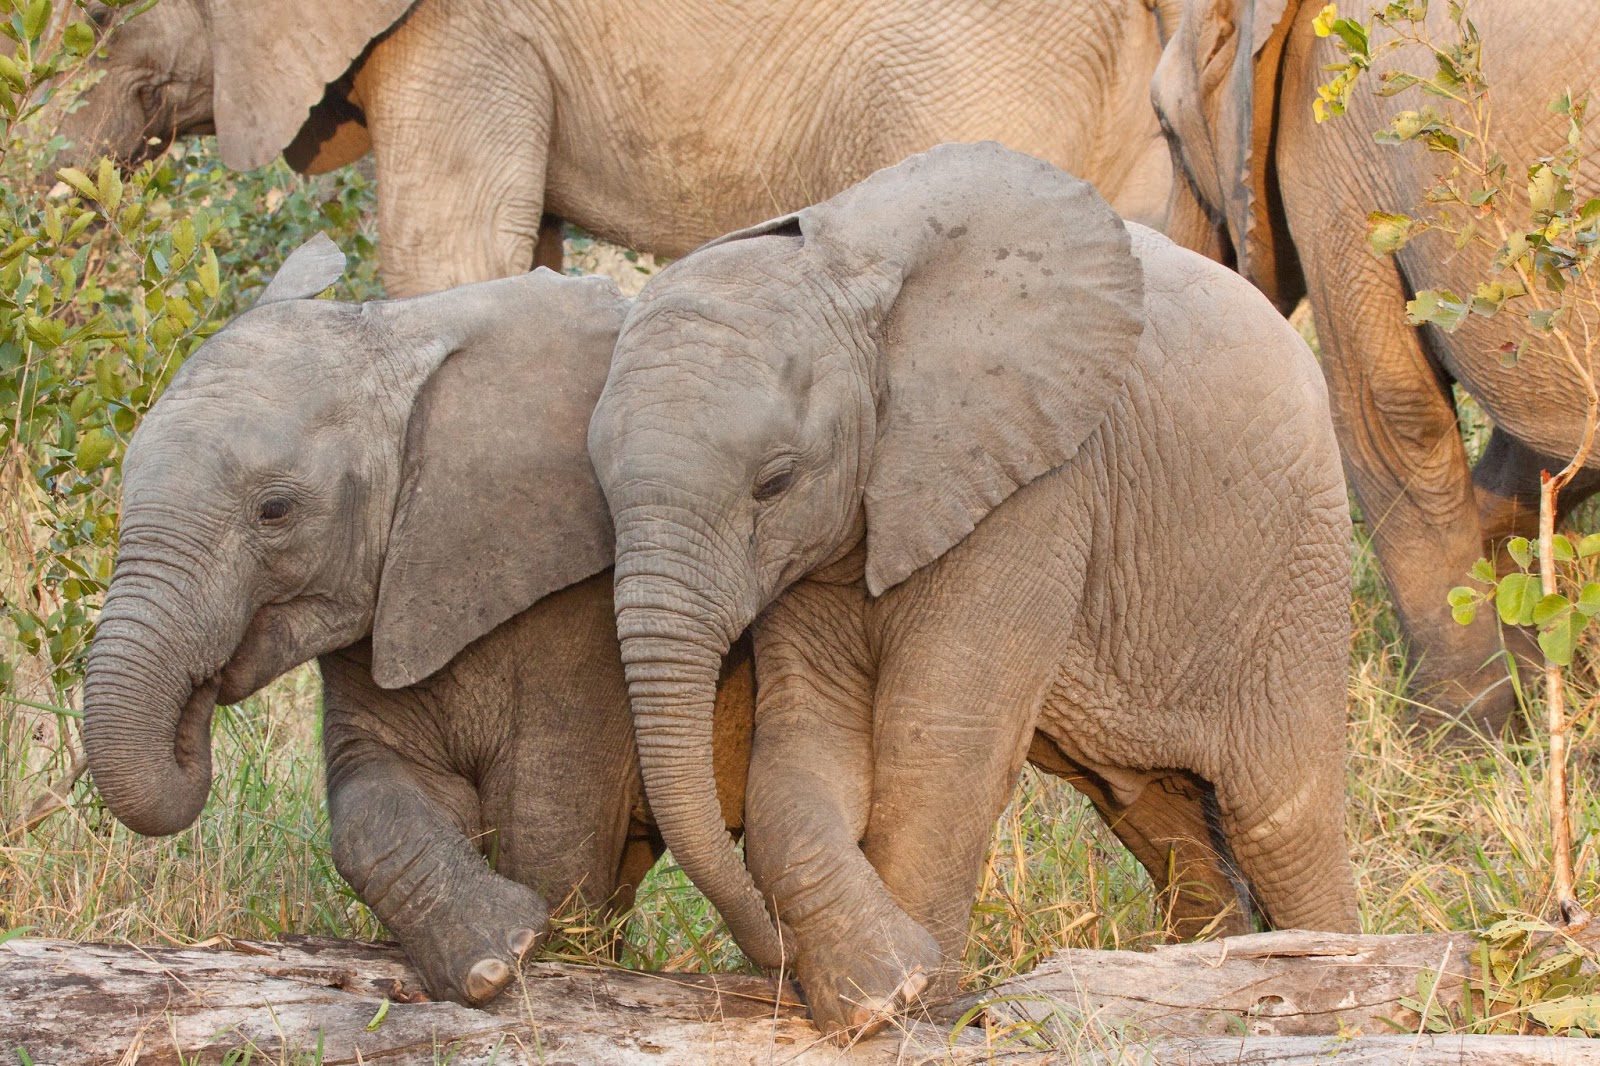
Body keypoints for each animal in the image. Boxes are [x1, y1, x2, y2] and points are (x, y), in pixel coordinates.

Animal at [82, 238, 761, 1005]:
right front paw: (490, 959)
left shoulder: (587, 606)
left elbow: (546, 823)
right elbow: (369, 794)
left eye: (274, 511)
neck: (404, 335)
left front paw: (537, 958)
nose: (201, 691)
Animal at [588, 140, 1363, 1037]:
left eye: (774, 482)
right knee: (1164, 821)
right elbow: (803, 741)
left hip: (1295, 567)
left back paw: (1332, 984)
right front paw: (877, 988)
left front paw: (918, 1006)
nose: (773, 961)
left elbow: (936, 744)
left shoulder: (1037, 482)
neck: (852, 283)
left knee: (1282, 820)